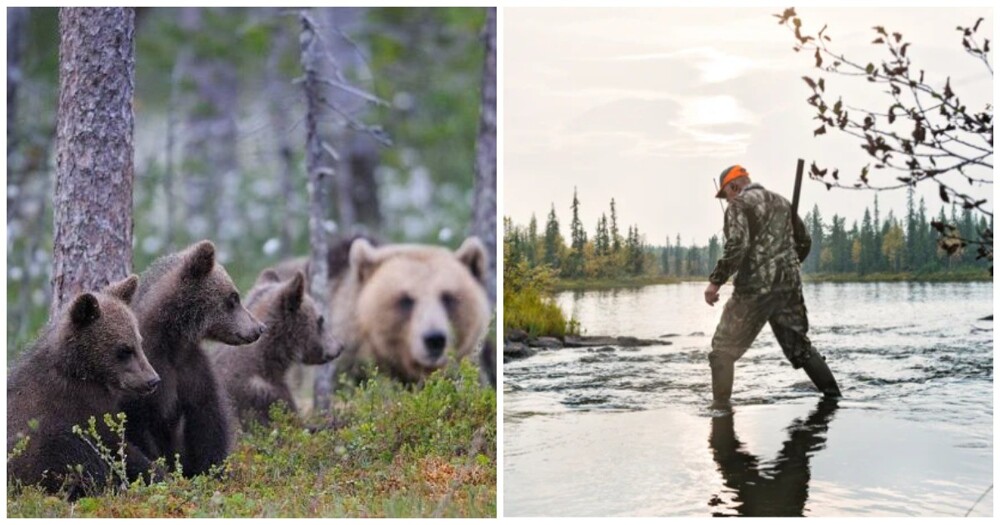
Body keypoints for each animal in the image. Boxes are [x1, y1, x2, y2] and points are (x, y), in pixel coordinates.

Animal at [119, 239, 266, 476]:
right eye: (233, 298)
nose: (259, 328)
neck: (174, 342)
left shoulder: (192, 371)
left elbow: (208, 422)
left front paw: (212, 469)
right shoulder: (146, 374)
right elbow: (137, 429)